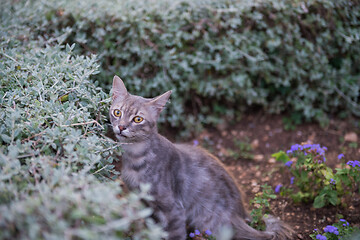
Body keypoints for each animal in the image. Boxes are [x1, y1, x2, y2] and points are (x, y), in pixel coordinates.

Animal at [109, 75, 292, 240]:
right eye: (117, 112)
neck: (135, 157)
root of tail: (238, 215)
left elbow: (175, 235)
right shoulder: (144, 204)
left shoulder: (173, 210)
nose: (121, 127)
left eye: (138, 119)